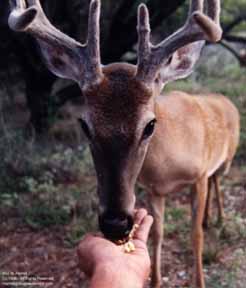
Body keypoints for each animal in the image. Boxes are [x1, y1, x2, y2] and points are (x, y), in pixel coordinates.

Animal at [8, 0, 239, 288]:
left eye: (150, 125)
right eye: (84, 125)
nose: (115, 223)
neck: (167, 166)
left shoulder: (197, 176)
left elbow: (195, 235)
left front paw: (199, 280)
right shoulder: (154, 190)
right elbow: (157, 234)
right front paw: (155, 281)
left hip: (227, 159)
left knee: (218, 180)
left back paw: (219, 219)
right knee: (214, 181)